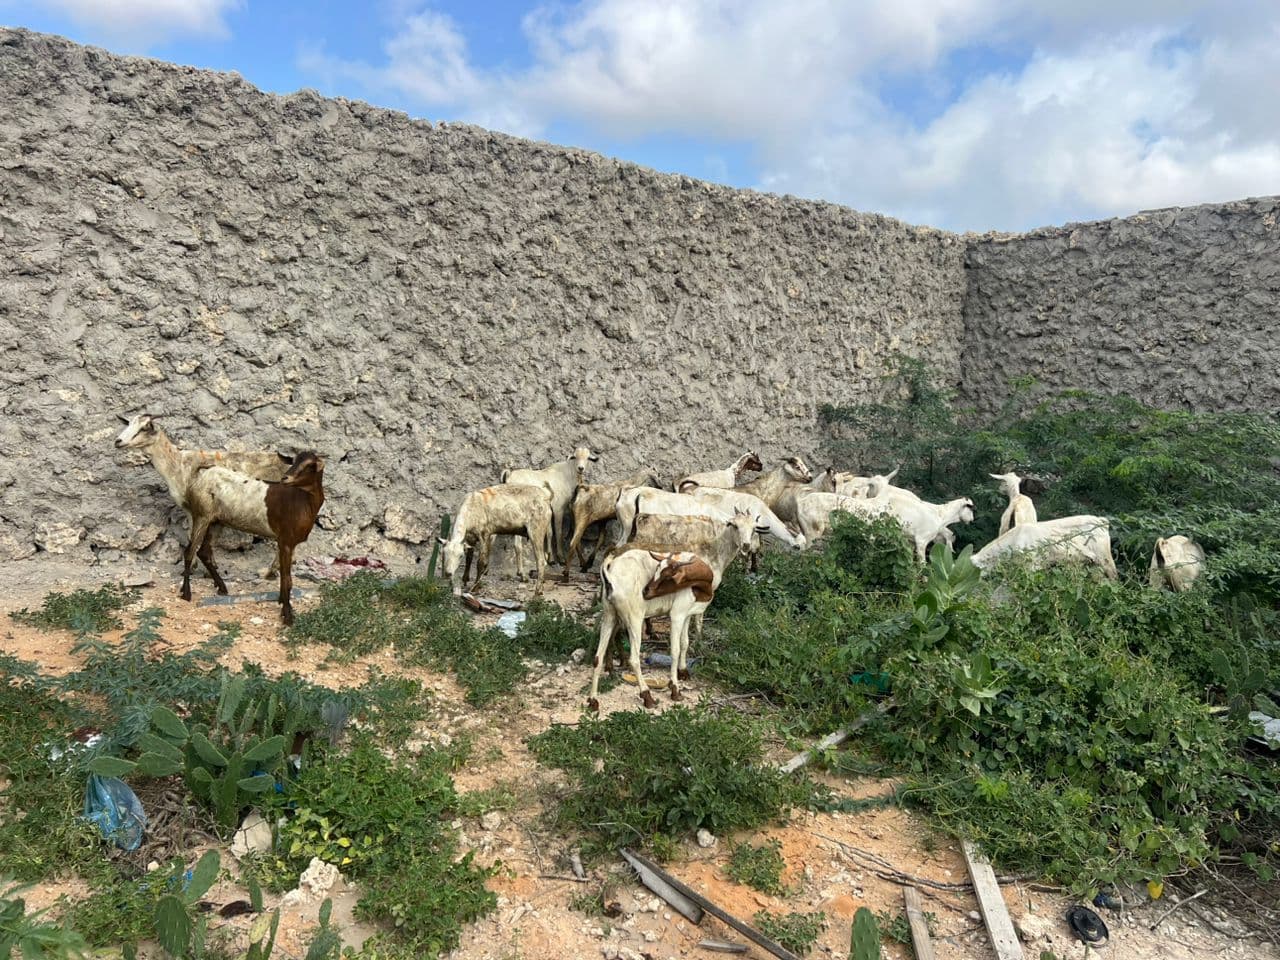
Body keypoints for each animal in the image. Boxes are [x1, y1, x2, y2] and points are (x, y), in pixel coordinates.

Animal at [180, 452, 325, 626]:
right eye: (294, 461)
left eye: (310, 465)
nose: (285, 478)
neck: (302, 501)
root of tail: (203, 473)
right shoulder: (285, 541)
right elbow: (287, 579)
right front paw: (288, 615)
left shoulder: (288, 542)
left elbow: (283, 576)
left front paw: (283, 605)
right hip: (202, 515)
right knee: (189, 551)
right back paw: (186, 593)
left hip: (216, 522)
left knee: (204, 552)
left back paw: (222, 587)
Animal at [588, 509, 766, 712]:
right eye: (734, 525)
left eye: (754, 528)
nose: (746, 545)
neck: (713, 552)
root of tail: (609, 564)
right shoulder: (682, 611)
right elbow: (691, 631)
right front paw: (680, 678)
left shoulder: (686, 611)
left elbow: (684, 642)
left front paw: (683, 671)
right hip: (633, 615)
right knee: (634, 656)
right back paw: (645, 693)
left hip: (610, 612)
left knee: (600, 651)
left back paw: (600, 688)